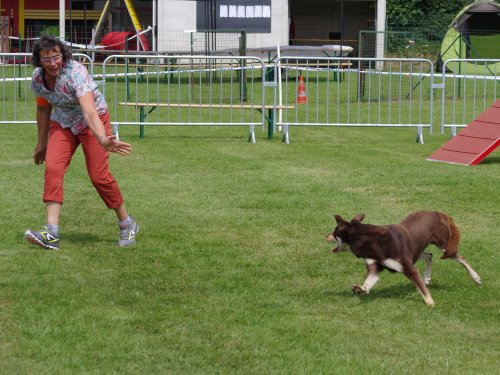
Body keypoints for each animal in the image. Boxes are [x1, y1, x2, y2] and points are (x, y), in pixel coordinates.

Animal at [326, 212, 482, 306]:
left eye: (335, 232)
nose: (325, 235)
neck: (371, 240)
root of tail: (436, 212)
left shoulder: (409, 269)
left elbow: (423, 290)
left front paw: (431, 303)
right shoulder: (374, 268)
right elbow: (369, 282)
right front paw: (361, 289)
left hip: (444, 247)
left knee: (461, 258)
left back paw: (476, 277)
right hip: (416, 251)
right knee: (429, 256)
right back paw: (427, 276)